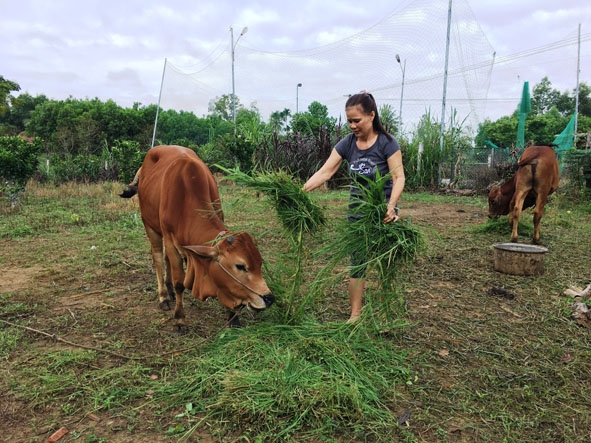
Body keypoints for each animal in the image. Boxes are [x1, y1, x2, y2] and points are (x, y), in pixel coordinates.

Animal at [123, 146, 276, 330]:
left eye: (260, 263)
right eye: (240, 266)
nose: (269, 298)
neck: (186, 199)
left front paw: (233, 318)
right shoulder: (169, 239)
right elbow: (179, 283)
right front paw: (180, 319)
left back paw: (169, 290)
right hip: (150, 226)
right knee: (158, 257)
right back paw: (164, 297)